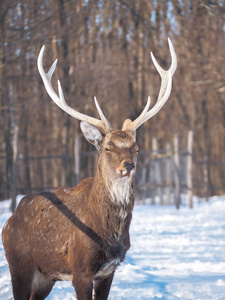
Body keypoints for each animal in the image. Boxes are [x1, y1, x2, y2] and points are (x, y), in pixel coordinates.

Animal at [2, 38, 178, 300]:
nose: (129, 165)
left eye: (136, 148)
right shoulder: (80, 270)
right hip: (19, 264)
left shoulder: (108, 271)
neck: (110, 233)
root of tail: (9, 220)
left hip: (45, 277)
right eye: (108, 147)